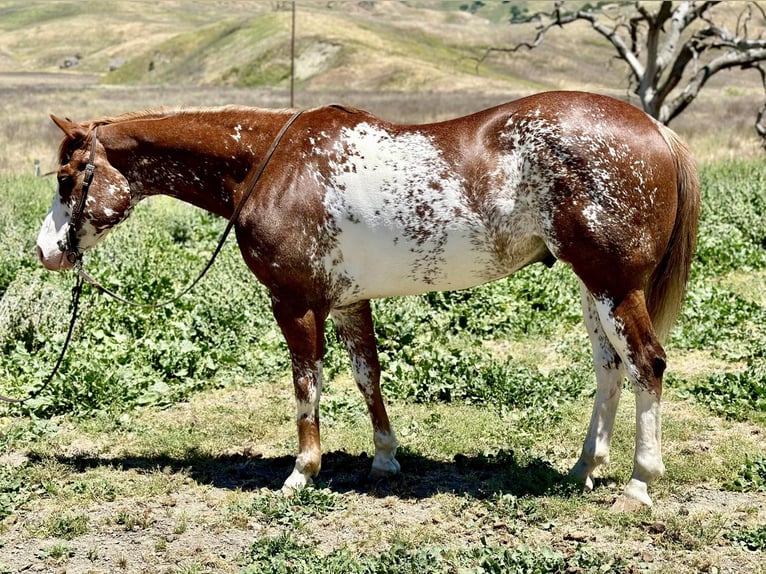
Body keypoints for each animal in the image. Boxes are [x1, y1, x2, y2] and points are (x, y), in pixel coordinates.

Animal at [39, 92, 704, 510]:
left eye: (69, 179)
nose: (46, 250)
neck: (268, 164)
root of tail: (657, 130)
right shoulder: (345, 300)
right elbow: (367, 375)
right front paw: (385, 458)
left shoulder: (295, 301)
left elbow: (307, 382)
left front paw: (301, 472)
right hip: (596, 287)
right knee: (610, 369)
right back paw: (584, 469)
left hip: (614, 284)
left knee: (647, 365)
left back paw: (638, 485)